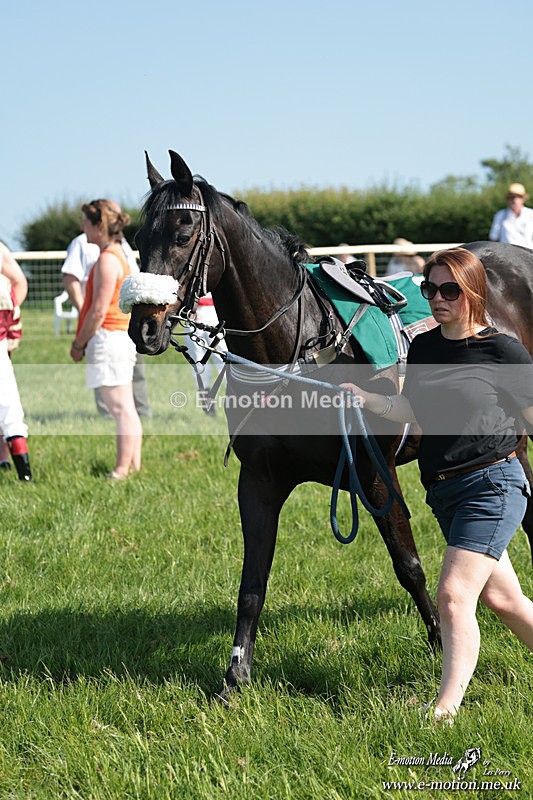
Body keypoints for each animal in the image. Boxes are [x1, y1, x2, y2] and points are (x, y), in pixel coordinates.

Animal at [128, 150, 533, 700]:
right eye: (137, 237)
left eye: (183, 233)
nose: (144, 327)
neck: (299, 348)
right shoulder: (258, 480)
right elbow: (252, 582)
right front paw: (235, 676)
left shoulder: (375, 471)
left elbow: (408, 564)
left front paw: (440, 643)